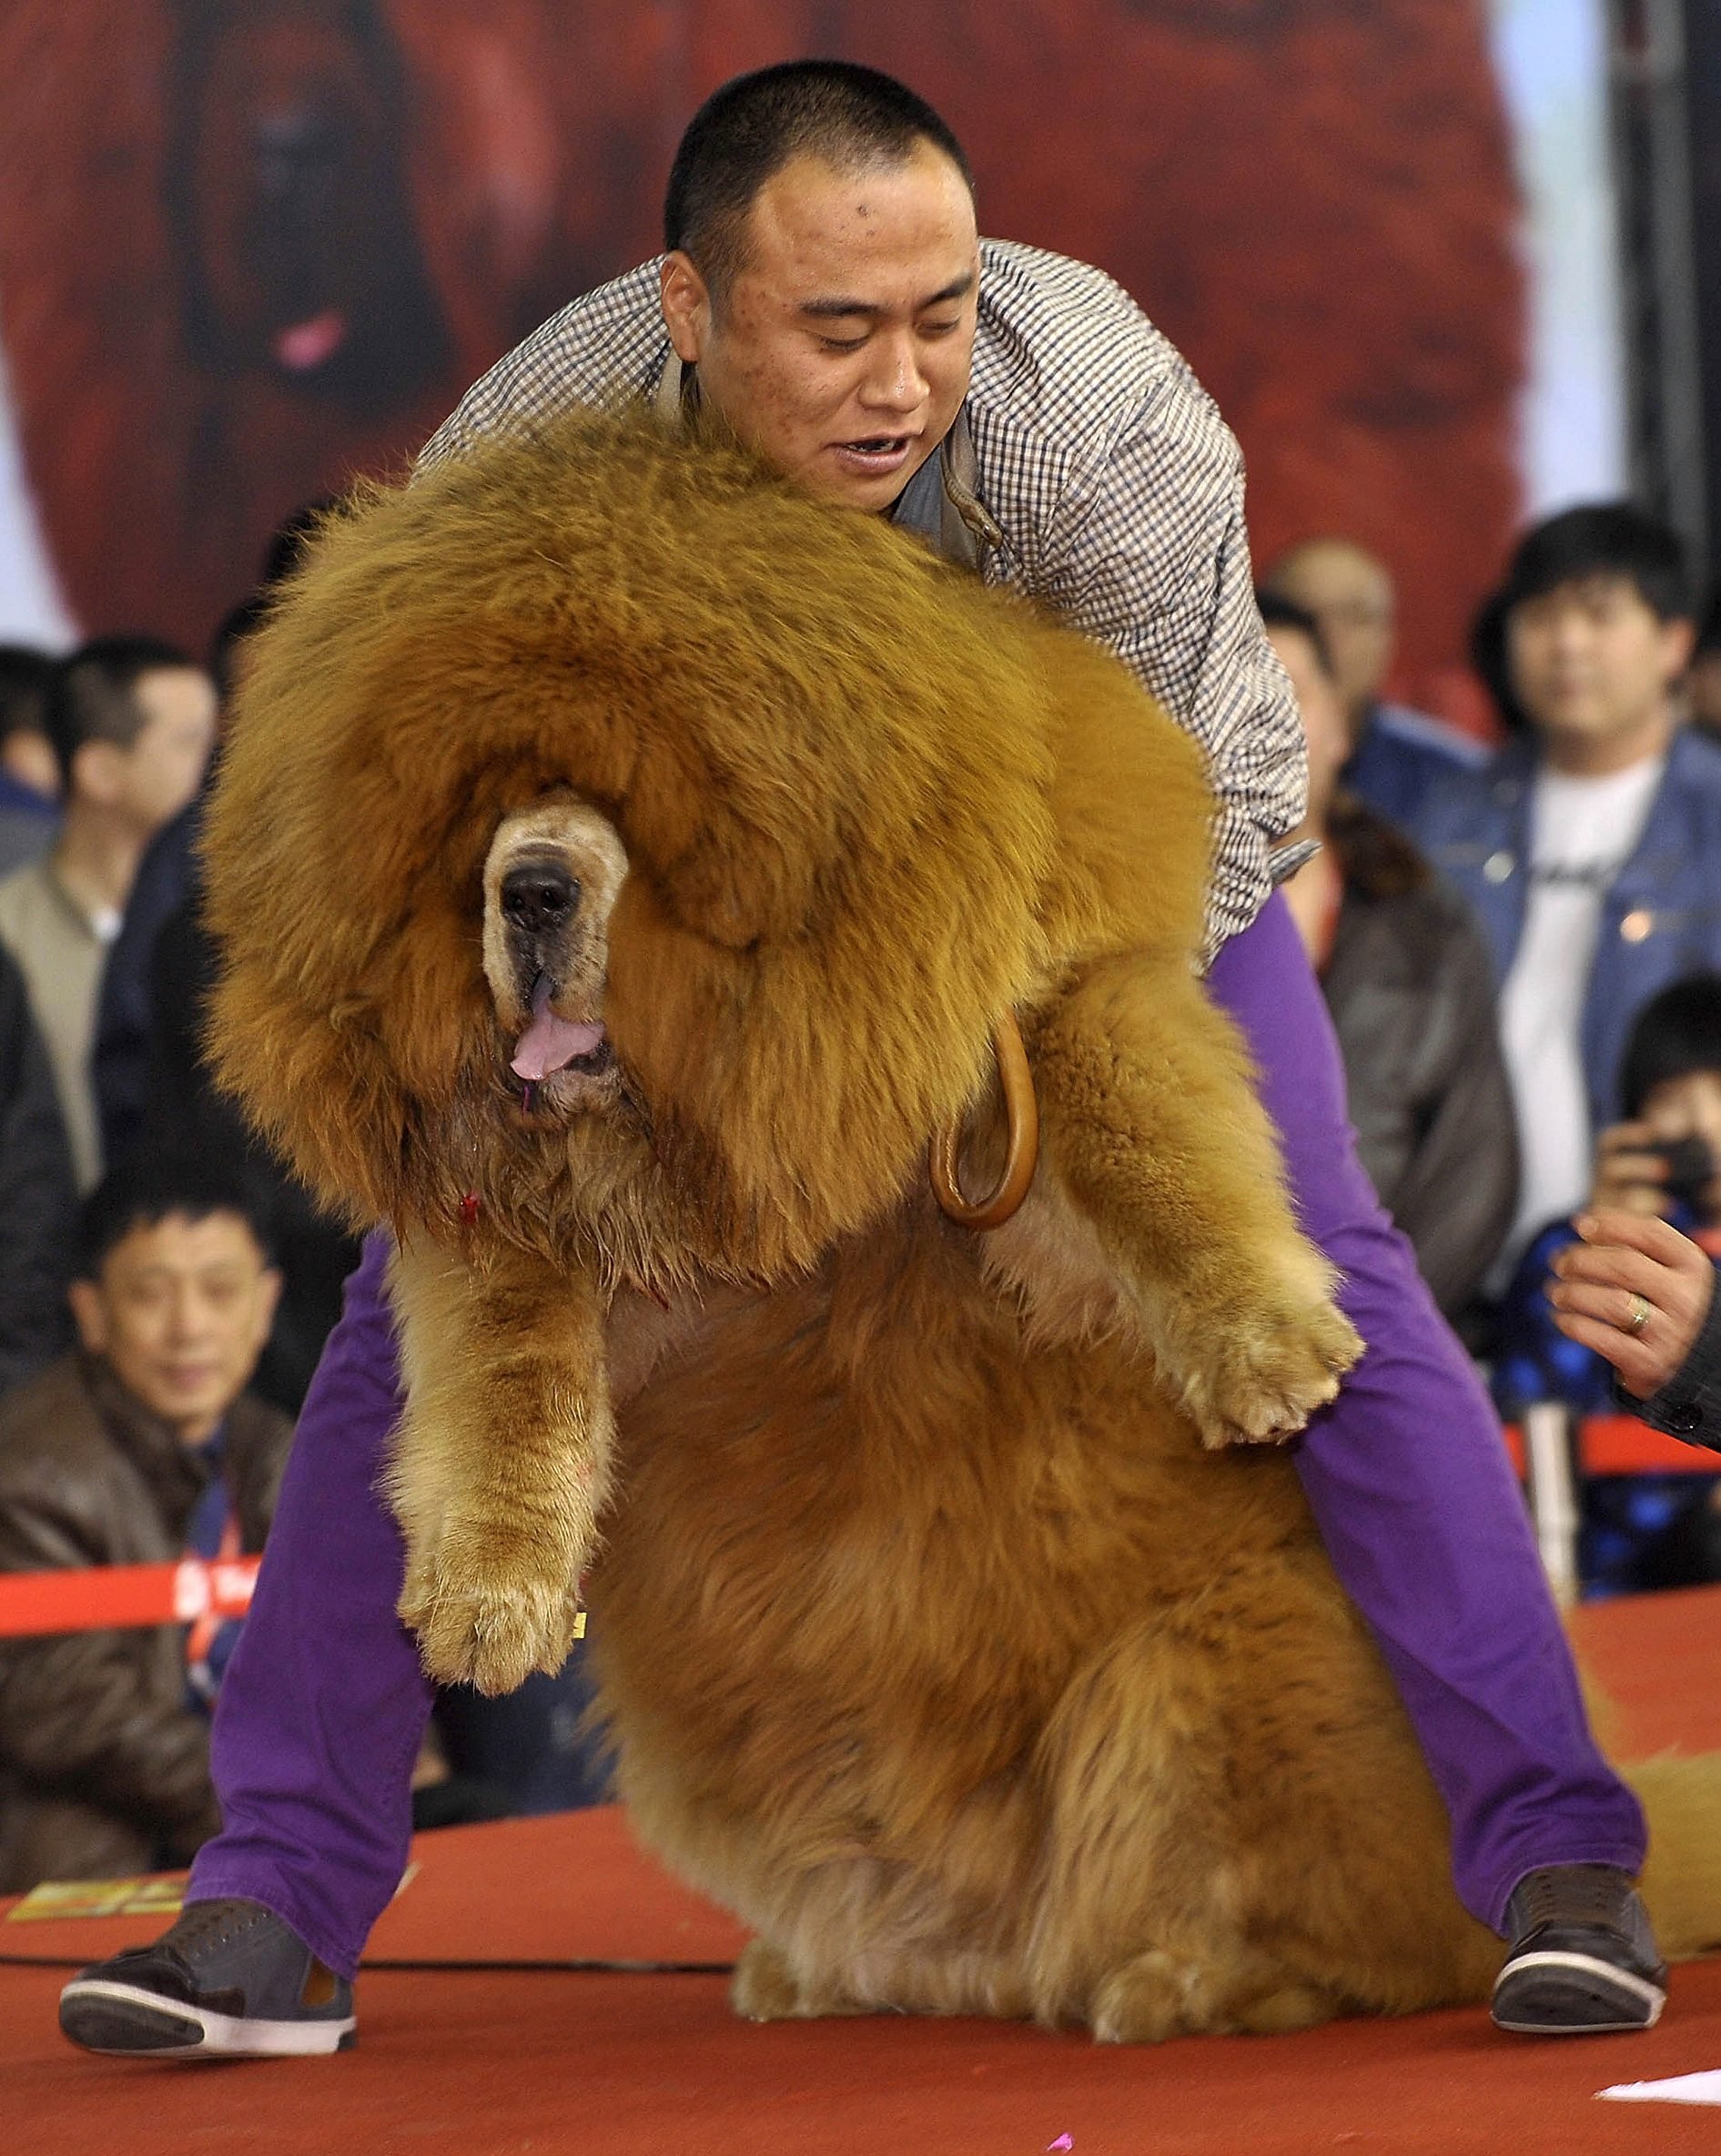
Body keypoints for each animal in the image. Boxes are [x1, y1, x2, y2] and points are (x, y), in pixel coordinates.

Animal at [206, 407, 1721, 2035]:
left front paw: (1254, 1346)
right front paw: (487, 1592)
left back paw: (1188, 1975)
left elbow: (1136, 1138)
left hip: (1198, 1672)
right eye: (482, 812)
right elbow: (507, 1391)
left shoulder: (1031, 1035)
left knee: (1339, 1931)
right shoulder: (505, 1218)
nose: (533, 888)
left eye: (637, 814)